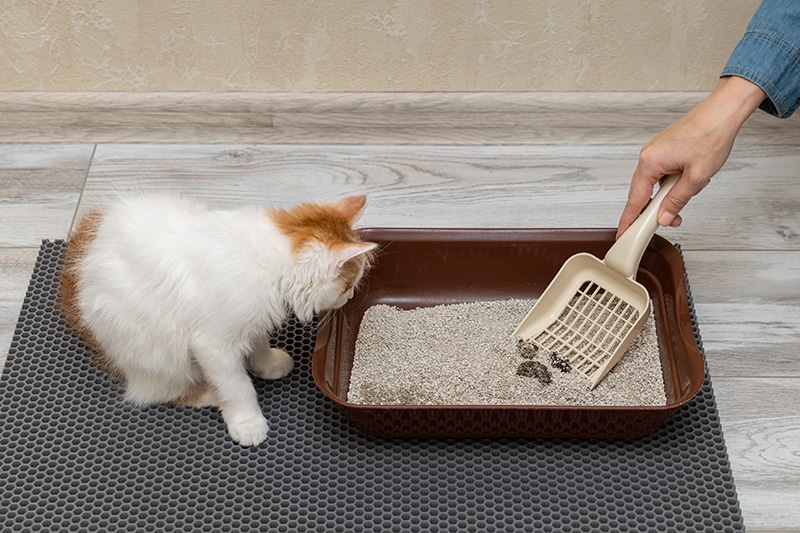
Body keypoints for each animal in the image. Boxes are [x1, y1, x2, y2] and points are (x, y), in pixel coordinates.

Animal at [59, 194, 378, 444]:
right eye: (348, 286)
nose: (351, 296)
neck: (265, 261)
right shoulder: (213, 345)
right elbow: (236, 386)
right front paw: (247, 422)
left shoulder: (253, 322)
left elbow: (258, 347)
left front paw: (268, 366)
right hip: (158, 351)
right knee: (154, 393)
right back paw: (209, 395)